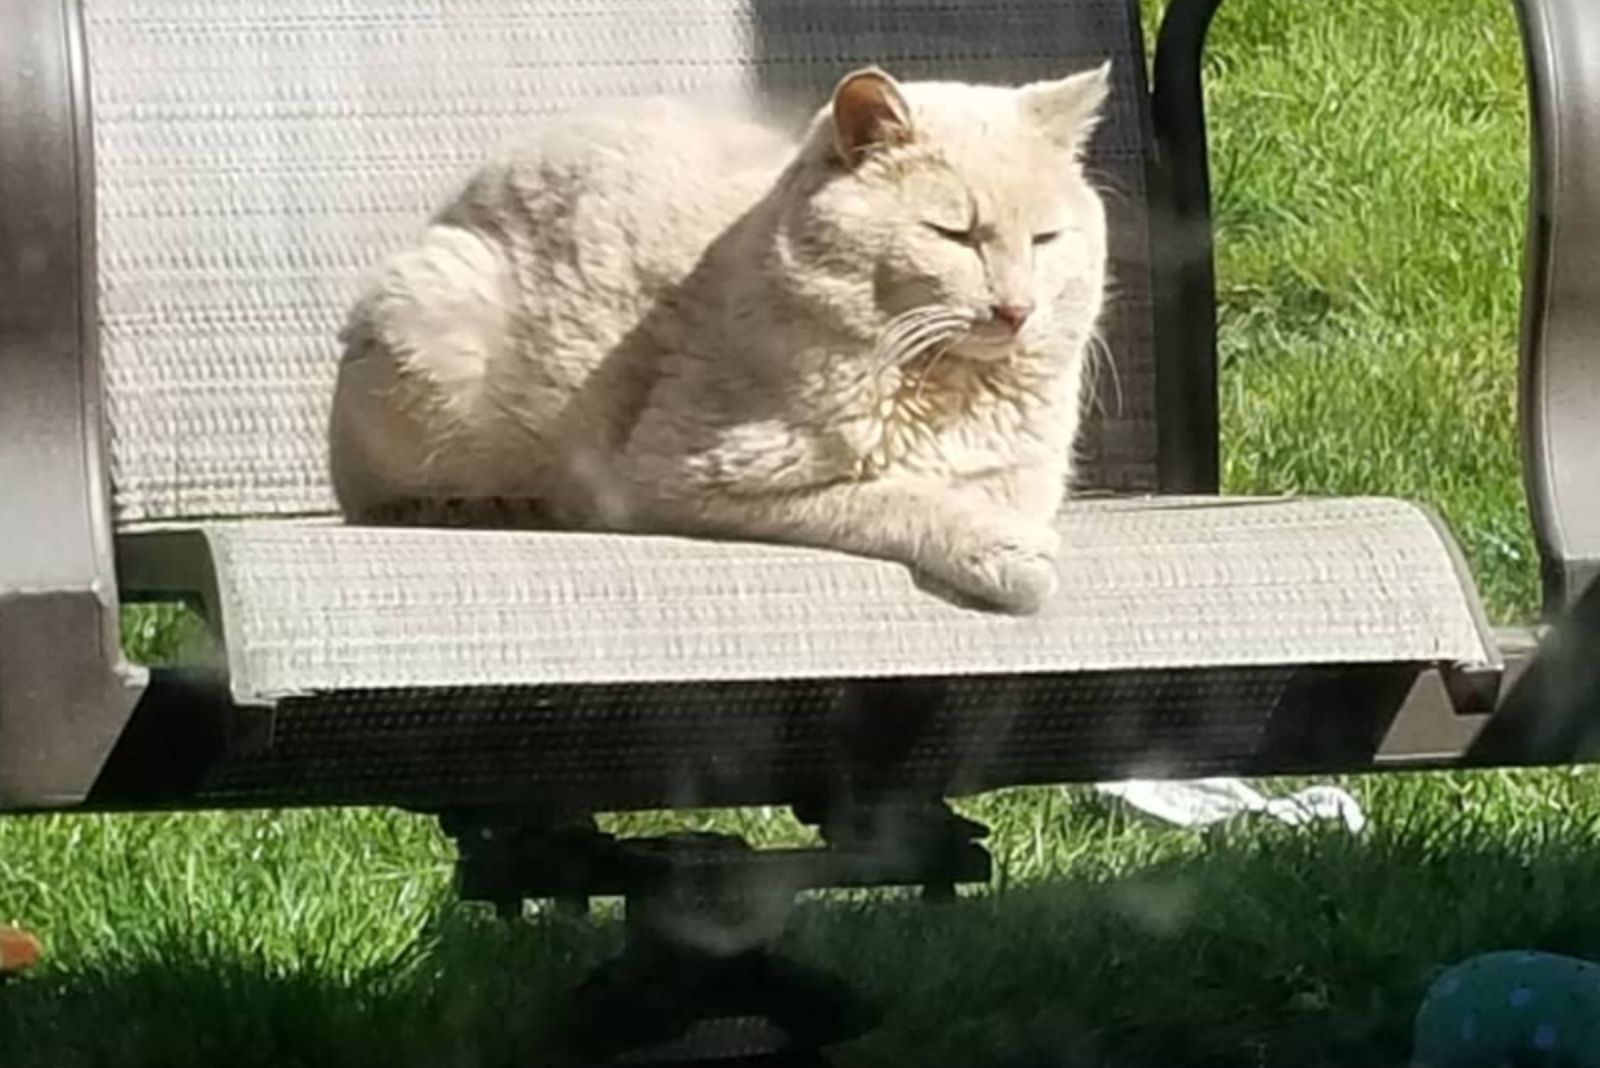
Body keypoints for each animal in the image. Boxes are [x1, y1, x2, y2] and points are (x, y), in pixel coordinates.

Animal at [334, 66, 1113, 613]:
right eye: (953, 234)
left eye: (1046, 239)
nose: (1016, 308)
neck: (949, 389)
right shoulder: (691, 479)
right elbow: (893, 497)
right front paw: (1006, 551)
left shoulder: (1024, 479)